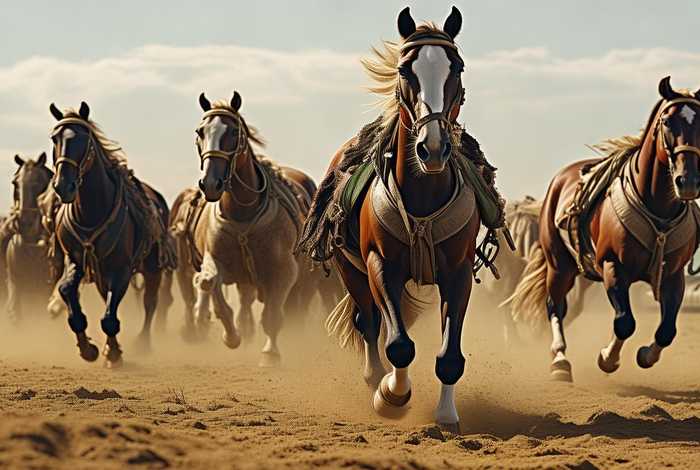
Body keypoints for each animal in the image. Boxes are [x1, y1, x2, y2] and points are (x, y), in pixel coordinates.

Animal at [48, 101, 175, 367]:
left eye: (83, 140)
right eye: (55, 138)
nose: (63, 185)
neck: (91, 211)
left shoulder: (121, 268)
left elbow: (110, 317)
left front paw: (113, 353)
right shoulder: (75, 259)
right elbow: (67, 290)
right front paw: (88, 348)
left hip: (152, 267)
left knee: (150, 302)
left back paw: (143, 342)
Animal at [170, 92, 329, 366]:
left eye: (234, 132)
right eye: (200, 131)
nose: (210, 183)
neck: (243, 214)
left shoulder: (284, 271)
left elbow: (273, 314)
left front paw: (270, 353)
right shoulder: (216, 260)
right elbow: (210, 284)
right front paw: (231, 335)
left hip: (306, 280)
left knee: (298, 306)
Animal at [299, 7, 506, 430]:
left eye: (457, 67)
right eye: (405, 70)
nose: (433, 148)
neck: (424, 195)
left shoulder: (458, 272)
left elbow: (450, 356)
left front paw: (446, 414)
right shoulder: (381, 265)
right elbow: (397, 344)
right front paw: (391, 396)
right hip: (351, 271)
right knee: (368, 323)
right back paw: (374, 379)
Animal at [510, 77, 700, 381]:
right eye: (668, 122)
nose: (688, 181)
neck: (657, 209)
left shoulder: (673, 275)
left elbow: (667, 330)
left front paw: (646, 355)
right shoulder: (613, 266)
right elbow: (625, 322)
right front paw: (607, 358)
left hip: (586, 271)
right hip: (559, 265)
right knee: (556, 305)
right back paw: (560, 360)